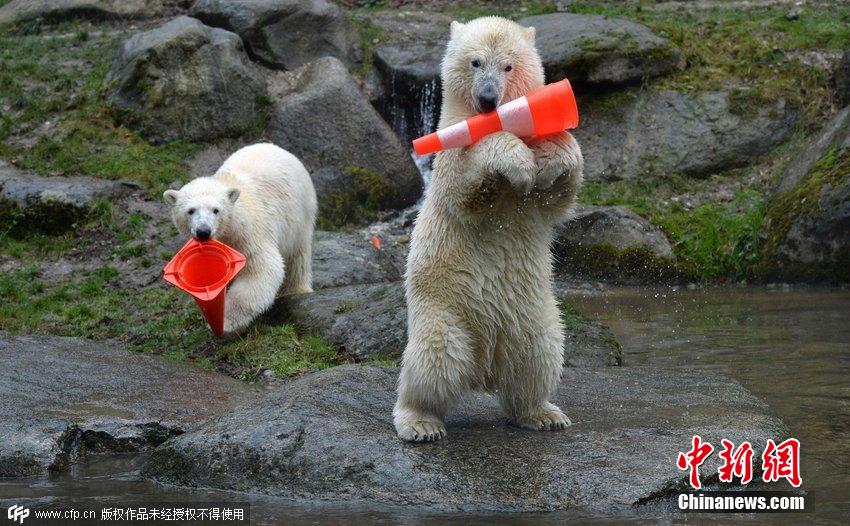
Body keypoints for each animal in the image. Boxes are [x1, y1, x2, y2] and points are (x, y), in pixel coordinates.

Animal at [164, 143, 317, 334]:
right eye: (191, 211)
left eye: (216, 210)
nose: (203, 231)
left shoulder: (248, 234)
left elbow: (260, 269)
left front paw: (226, 321)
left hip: (300, 213)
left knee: (297, 254)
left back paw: (295, 291)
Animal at [393, 17, 584, 442]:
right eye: (476, 62)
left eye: (509, 66)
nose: (487, 99)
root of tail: (485, 366)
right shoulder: (448, 154)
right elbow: (468, 185)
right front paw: (518, 162)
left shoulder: (535, 206)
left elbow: (559, 194)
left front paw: (550, 154)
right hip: (444, 310)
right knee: (435, 360)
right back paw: (420, 421)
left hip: (533, 316)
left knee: (538, 358)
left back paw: (543, 413)